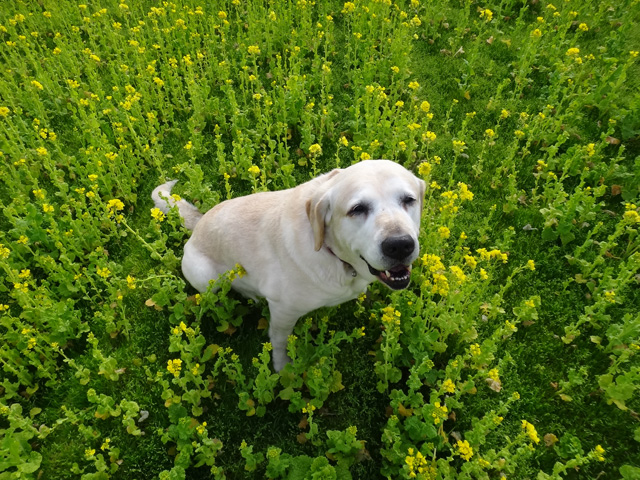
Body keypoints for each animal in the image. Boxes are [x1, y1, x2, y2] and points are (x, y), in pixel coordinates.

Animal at [151, 161, 424, 372]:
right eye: (357, 209)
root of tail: (199, 222)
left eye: (408, 200)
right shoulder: (283, 310)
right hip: (206, 276)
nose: (400, 245)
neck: (333, 253)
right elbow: (280, 341)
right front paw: (282, 367)